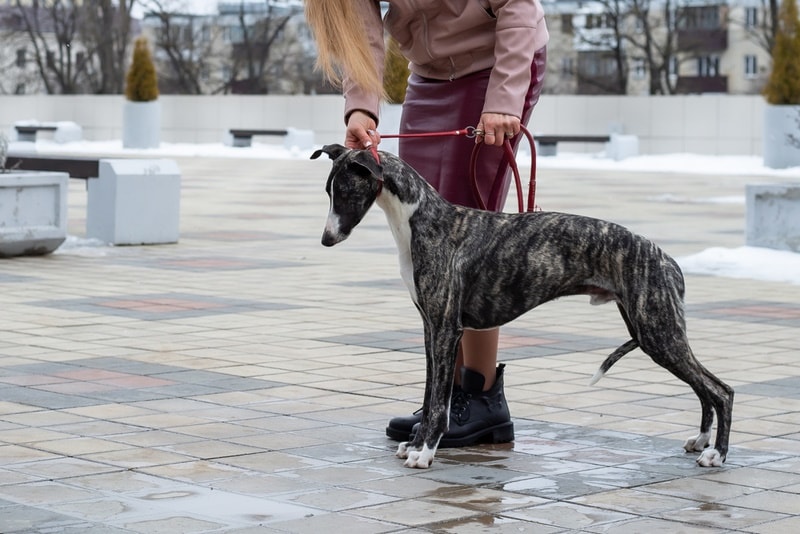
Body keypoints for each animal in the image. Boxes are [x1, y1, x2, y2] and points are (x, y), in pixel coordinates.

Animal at [310, 144, 732, 472]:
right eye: (328, 191)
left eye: (344, 191)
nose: (326, 240)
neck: (421, 219)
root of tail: (667, 259)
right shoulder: (431, 328)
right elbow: (431, 397)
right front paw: (414, 446)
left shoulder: (446, 329)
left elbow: (439, 402)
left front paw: (425, 452)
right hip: (652, 332)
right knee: (704, 388)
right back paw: (700, 441)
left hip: (658, 333)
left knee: (721, 390)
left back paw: (717, 455)